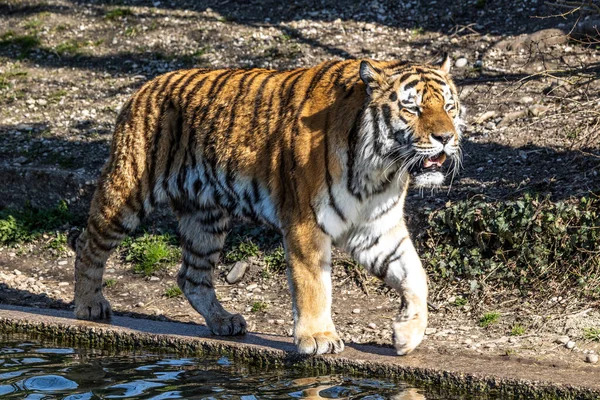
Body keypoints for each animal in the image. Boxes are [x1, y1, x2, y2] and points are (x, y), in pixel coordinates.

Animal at [71, 54, 464, 354]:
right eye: (412, 108)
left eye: (448, 106)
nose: (446, 137)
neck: (381, 169)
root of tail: (143, 88)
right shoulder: (306, 223)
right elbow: (313, 285)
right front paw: (318, 339)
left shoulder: (377, 228)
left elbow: (416, 275)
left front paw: (407, 336)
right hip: (127, 193)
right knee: (88, 244)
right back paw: (90, 305)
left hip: (206, 217)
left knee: (191, 276)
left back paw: (224, 321)